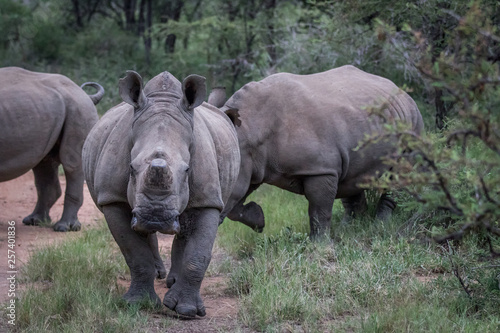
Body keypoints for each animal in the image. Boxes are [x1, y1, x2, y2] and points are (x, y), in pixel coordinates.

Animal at [0, 66, 103, 230]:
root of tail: (82, 93)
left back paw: (64, 228)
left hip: (78, 108)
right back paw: (34, 221)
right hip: (47, 109)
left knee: (72, 164)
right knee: (43, 163)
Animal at [82, 70, 240, 316]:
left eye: (187, 170)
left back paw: (172, 282)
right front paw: (137, 303)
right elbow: (135, 253)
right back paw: (159, 274)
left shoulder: (209, 200)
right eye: (131, 168)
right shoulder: (112, 199)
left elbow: (198, 254)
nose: (155, 216)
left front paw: (187, 311)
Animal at [210, 63, 422, 237]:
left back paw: (381, 225)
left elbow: (319, 209)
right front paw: (259, 220)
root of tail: (404, 92)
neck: (250, 130)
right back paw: (351, 227)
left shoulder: (320, 168)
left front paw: (319, 244)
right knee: (351, 175)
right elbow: (235, 203)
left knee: (400, 171)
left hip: (411, 123)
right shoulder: (253, 162)